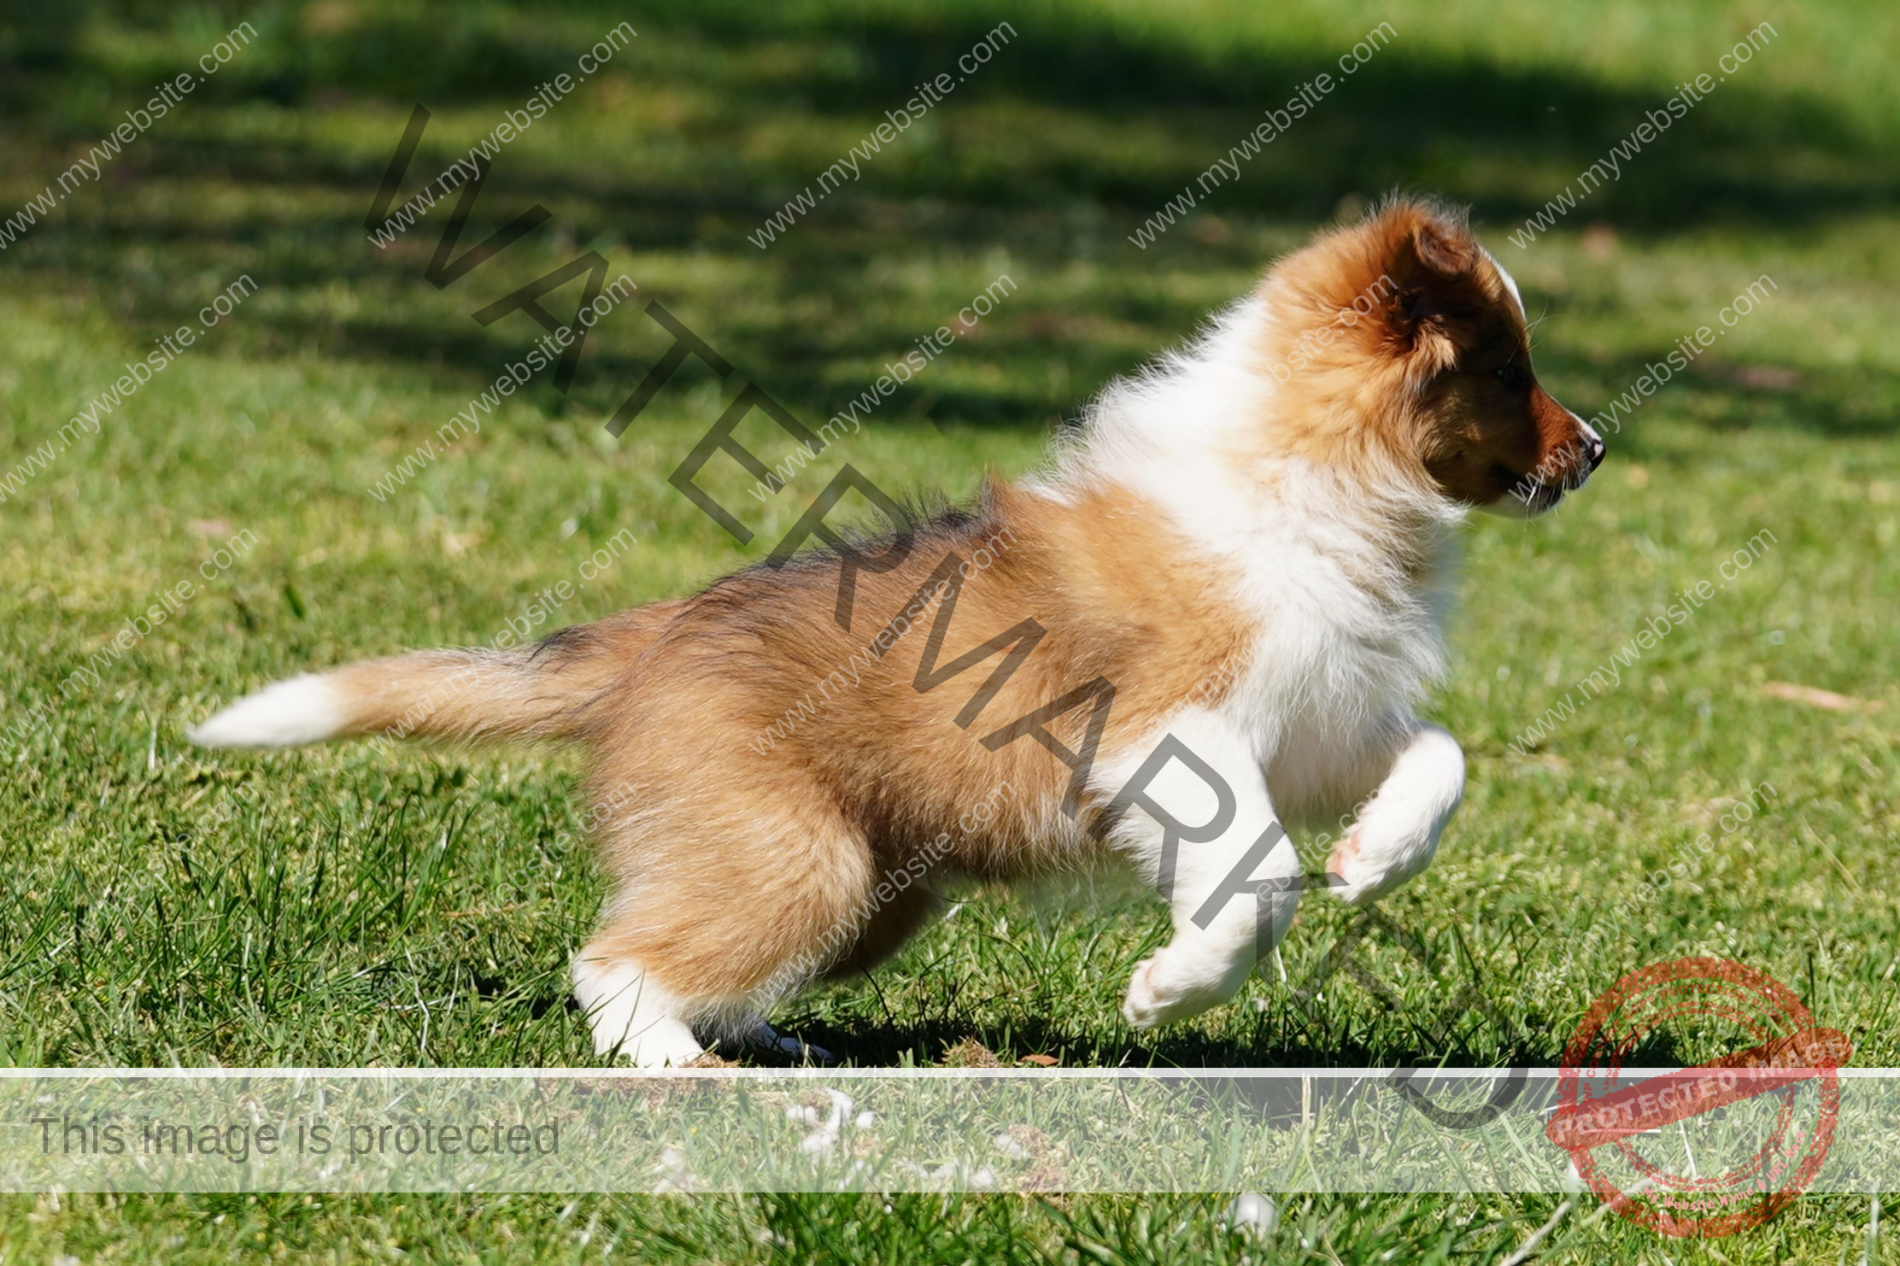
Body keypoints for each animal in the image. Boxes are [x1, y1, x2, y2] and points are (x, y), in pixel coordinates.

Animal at [189, 199, 1603, 1064]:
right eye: (1507, 370)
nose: (1594, 453)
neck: (1317, 476)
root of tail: (656, 634)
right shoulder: (1170, 733)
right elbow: (1254, 878)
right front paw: (1172, 988)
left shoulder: (1318, 720)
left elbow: (1433, 763)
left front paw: (1371, 861)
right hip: (798, 858)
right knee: (616, 957)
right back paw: (674, 1064)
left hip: (878, 888)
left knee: (711, 959)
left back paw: (761, 1038)